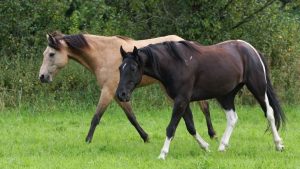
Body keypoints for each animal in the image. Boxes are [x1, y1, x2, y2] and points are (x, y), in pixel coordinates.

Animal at [38, 31, 217, 144]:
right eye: (45, 54)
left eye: (51, 54)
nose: (42, 77)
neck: (103, 54)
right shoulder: (118, 94)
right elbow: (131, 117)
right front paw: (146, 137)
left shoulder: (108, 91)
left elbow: (96, 117)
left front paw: (87, 141)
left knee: (204, 106)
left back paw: (212, 134)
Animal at [116, 40, 284, 159]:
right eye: (120, 68)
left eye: (133, 68)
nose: (121, 94)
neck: (175, 63)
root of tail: (252, 50)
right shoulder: (182, 101)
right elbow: (190, 127)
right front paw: (206, 147)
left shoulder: (181, 100)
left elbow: (171, 127)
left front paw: (162, 154)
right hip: (226, 95)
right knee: (232, 118)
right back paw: (222, 146)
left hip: (258, 88)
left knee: (269, 113)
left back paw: (278, 145)